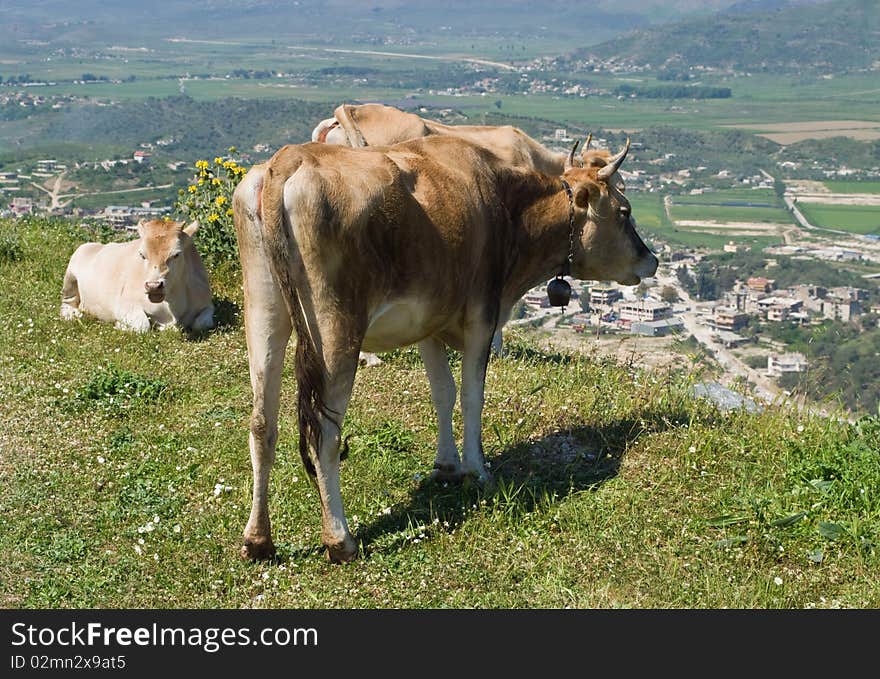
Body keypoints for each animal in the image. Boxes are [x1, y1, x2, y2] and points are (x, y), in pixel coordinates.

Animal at [60, 219, 215, 334]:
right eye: (142, 254)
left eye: (176, 254)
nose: (153, 286)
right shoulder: (124, 304)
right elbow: (142, 325)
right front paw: (120, 325)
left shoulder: (207, 303)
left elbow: (202, 324)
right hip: (70, 275)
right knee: (67, 303)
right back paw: (73, 314)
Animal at [230, 134, 656, 564]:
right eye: (624, 210)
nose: (651, 260)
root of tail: (290, 158)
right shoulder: (482, 315)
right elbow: (471, 395)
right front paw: (476, 470)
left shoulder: (429, 322)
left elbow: (442, 392)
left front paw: (447, 464)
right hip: (334, 327)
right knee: (324, 433)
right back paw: (340, 539)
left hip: (263, 309)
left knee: (262, 423)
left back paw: (258, 540)